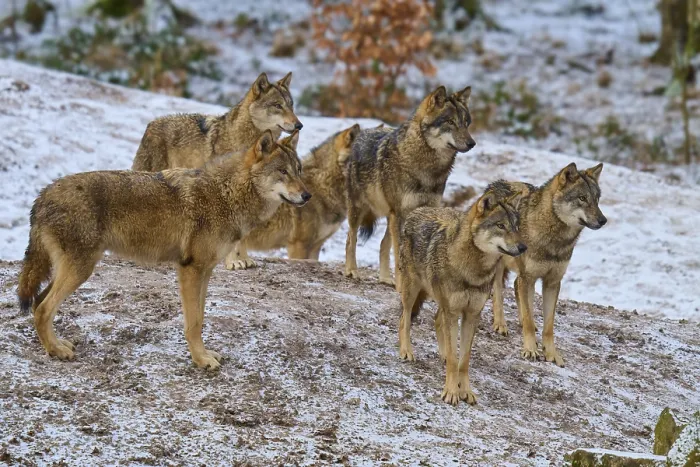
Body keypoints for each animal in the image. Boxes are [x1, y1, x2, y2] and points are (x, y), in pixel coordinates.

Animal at [17, 131, 308, 370]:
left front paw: (205, 354)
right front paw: (201, 360)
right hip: (81, 270)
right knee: (42, 309)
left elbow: (201, 316)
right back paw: (56, 351)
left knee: (38, 302)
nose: (307, 196)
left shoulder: (205, 271)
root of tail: (42, 196)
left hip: (71, 269)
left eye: (298, 170)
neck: (226, 194)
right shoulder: (190, 269)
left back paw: (56, 345)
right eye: (282, 172)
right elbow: (194, 323)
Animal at [225, 124, 362, 269]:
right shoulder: (298, 245)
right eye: (283, 171)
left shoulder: (316, 246)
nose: (307, 196)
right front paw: (234, 262)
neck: (323, 185)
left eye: (298, 170)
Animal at [344, 85, 476, 290]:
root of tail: (363, 133)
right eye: (450, 122)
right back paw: (351, 271)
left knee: (383, 244)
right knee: (351, 239)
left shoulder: (424, 210)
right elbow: (399, 255)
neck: (429, 169)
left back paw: (385, 278)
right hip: (359, 210)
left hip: (391, 217)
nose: (472, 143)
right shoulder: (399, 213)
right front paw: (402, 285)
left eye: (466, 123)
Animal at [398, 188, 526, 405]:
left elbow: (463, 360)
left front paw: (465, 391)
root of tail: (420, 210)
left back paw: (440, 354)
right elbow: (453, 358)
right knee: (404, 318)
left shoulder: (471, 315)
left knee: (436, 320)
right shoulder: (453, 311)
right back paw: (406, 351)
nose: (523, 247)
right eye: (501, 225)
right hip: (411, 290)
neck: (472, 271)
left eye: (516, 226)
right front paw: (451, 392)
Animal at [489, 163, 606, 367]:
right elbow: (528, 321)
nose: (603, 220)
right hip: (501, 267)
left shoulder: (552, 282)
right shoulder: (528, 278)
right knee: (499, 293)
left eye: (597, 199)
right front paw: (530, 350)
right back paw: (500, 324)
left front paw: (552, 354)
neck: (556, 241)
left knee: (517, 289)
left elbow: (548, 325)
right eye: (582, 198)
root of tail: (497, 183)